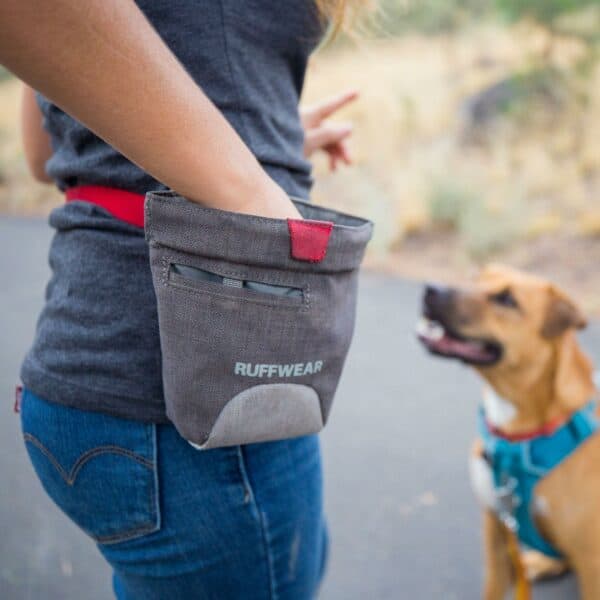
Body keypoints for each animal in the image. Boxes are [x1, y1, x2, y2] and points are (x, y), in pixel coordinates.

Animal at [418, 266, 600, 600]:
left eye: (506, 300)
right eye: (476, 279)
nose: (429, 290)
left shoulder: (592, 560)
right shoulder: (496, 531)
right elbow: (492, 588)